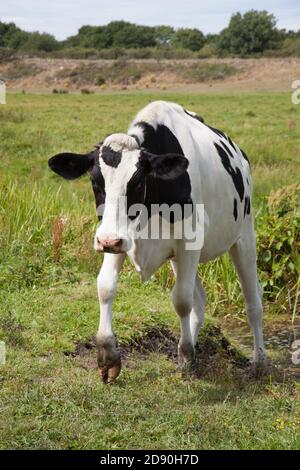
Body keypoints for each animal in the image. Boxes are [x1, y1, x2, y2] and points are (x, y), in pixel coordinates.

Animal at [49, 100, 268, 382]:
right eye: (95, 181)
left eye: (137, 181)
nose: (107, 240)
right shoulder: (119, 237)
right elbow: (105, 287)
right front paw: (108, 355)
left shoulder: (188, 242)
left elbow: (181, 300)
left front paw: (186, 355)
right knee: (201, 300)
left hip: (244, 237)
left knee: (253, 301)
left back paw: (259, 361)